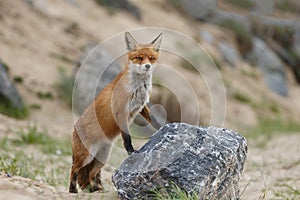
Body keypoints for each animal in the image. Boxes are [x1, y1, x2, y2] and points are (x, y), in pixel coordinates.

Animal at [69, 31, 163, 194]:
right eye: (139, 58)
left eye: (152, 58)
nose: (147, 66)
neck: (138, 88)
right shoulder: (121, 112)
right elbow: (127, 138)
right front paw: (132, 152)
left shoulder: (141, 106)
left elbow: (154, 120)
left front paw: (166, 126)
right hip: (86, 156)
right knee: (73, 169)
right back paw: (72, 190)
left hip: (102, 158)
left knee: (91, 174)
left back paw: (97, 190)